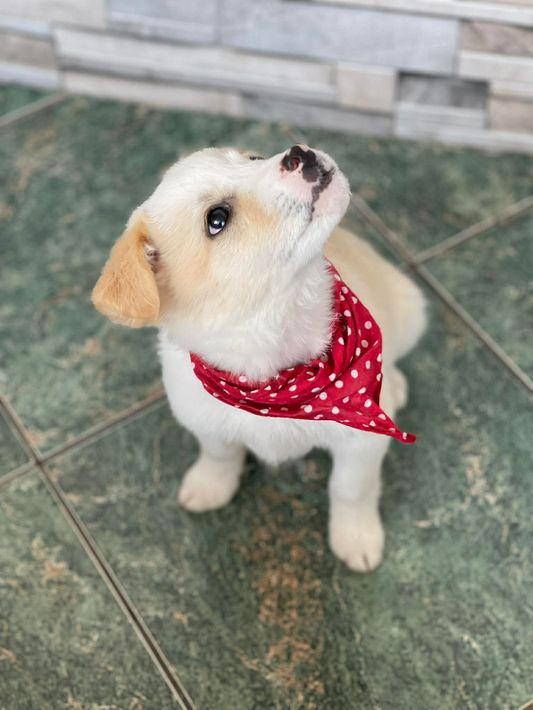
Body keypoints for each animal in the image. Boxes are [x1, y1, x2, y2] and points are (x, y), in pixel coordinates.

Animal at [92, 144, 426, 572]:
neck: (278, 375)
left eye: (251, 158)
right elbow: (219, 455)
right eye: (217, 219)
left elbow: (350, 489)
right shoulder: (204, 420)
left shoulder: (361, 441)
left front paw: (355, 537)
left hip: (410, 307)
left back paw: (394, 385)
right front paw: (209, 486)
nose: (299, 152)